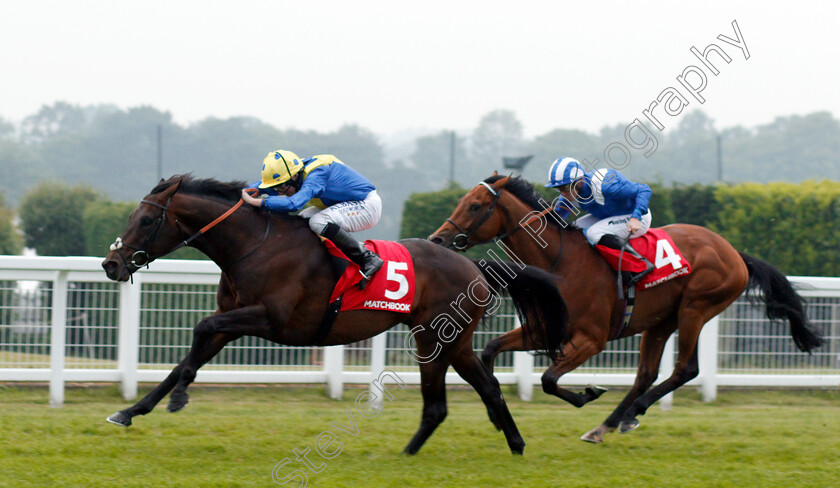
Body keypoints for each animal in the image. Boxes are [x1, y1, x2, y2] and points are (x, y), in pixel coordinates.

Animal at [101, 174, 568, 454]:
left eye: (146, 220)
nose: (111, 264)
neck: (255, 244)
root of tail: (475, 266)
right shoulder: (232, 318)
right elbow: (189, 355)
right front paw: (131, 410)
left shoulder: (270, 319)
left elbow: (200, 331)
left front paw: (179, 397)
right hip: (453, 340)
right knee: (487, 387)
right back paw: (514, 444)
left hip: (436, 338)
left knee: (441, 403)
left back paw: (411, 452)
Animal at [430, 173, 824, 444]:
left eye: (475, 206)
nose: (438, 238)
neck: (560, 261)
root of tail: (735, 253)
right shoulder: (547, 329)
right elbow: (492, 350)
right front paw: (494, 412)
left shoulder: (591, 339)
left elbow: (548, 380)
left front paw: (587, 393)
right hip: (661, 321)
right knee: (646, 375)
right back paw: (609, 424)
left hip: (696, 308)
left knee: (685, 369)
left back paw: (628, 413)